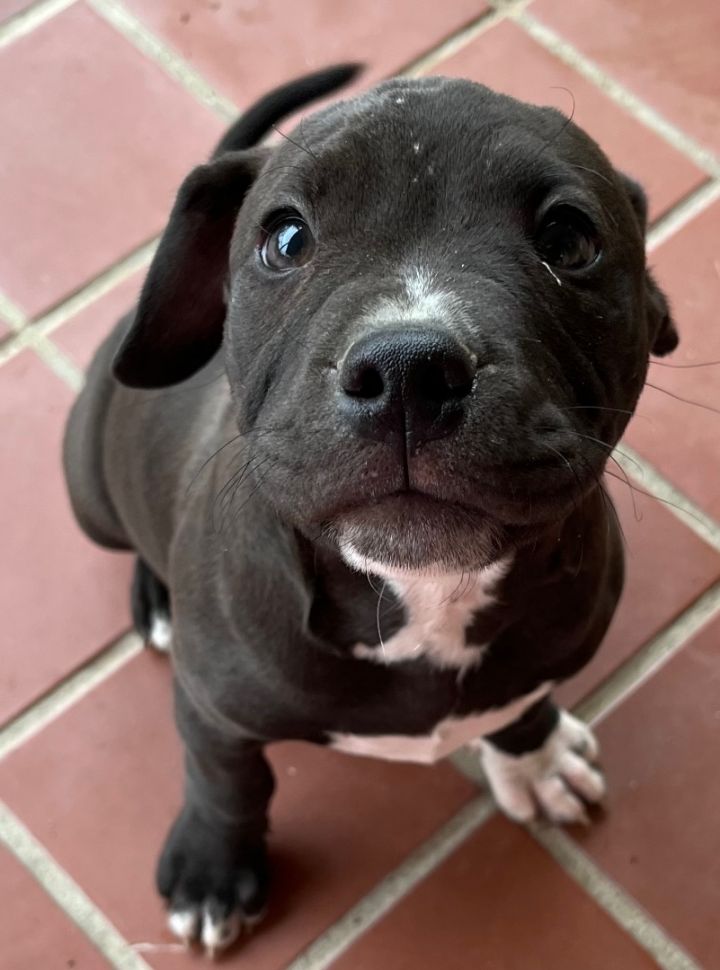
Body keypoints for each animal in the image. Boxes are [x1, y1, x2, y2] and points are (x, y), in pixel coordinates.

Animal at [62, 66, 676, 952]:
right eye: (286, 240)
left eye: (569, 241)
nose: (409, 367)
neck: (423, 590)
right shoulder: (212, 705)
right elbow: (225, 779)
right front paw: (213, 867)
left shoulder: (542, 654)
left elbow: (520, 702)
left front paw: (533, 757)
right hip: (88, 487)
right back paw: (155, 597)